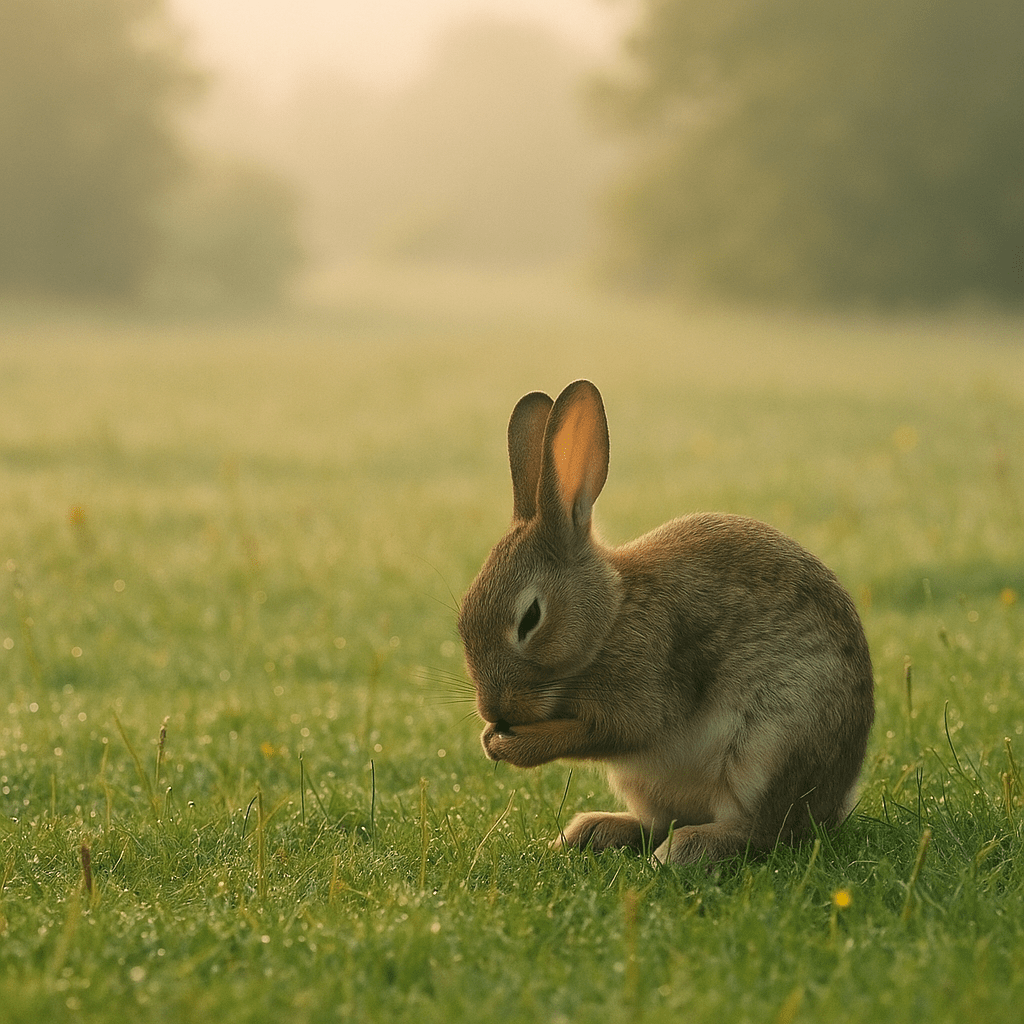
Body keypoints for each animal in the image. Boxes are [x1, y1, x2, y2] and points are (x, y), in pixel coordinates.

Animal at [457, 379, 874, 866]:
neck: (611, 618)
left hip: (768, 750)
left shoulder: (645, 691)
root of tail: (835, 800)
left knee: (766, 831)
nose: (493, 710)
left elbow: (605, 732)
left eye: (530, 619)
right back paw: (592, 831)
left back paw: (685, 849)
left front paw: (508, 746)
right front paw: (489, 738)